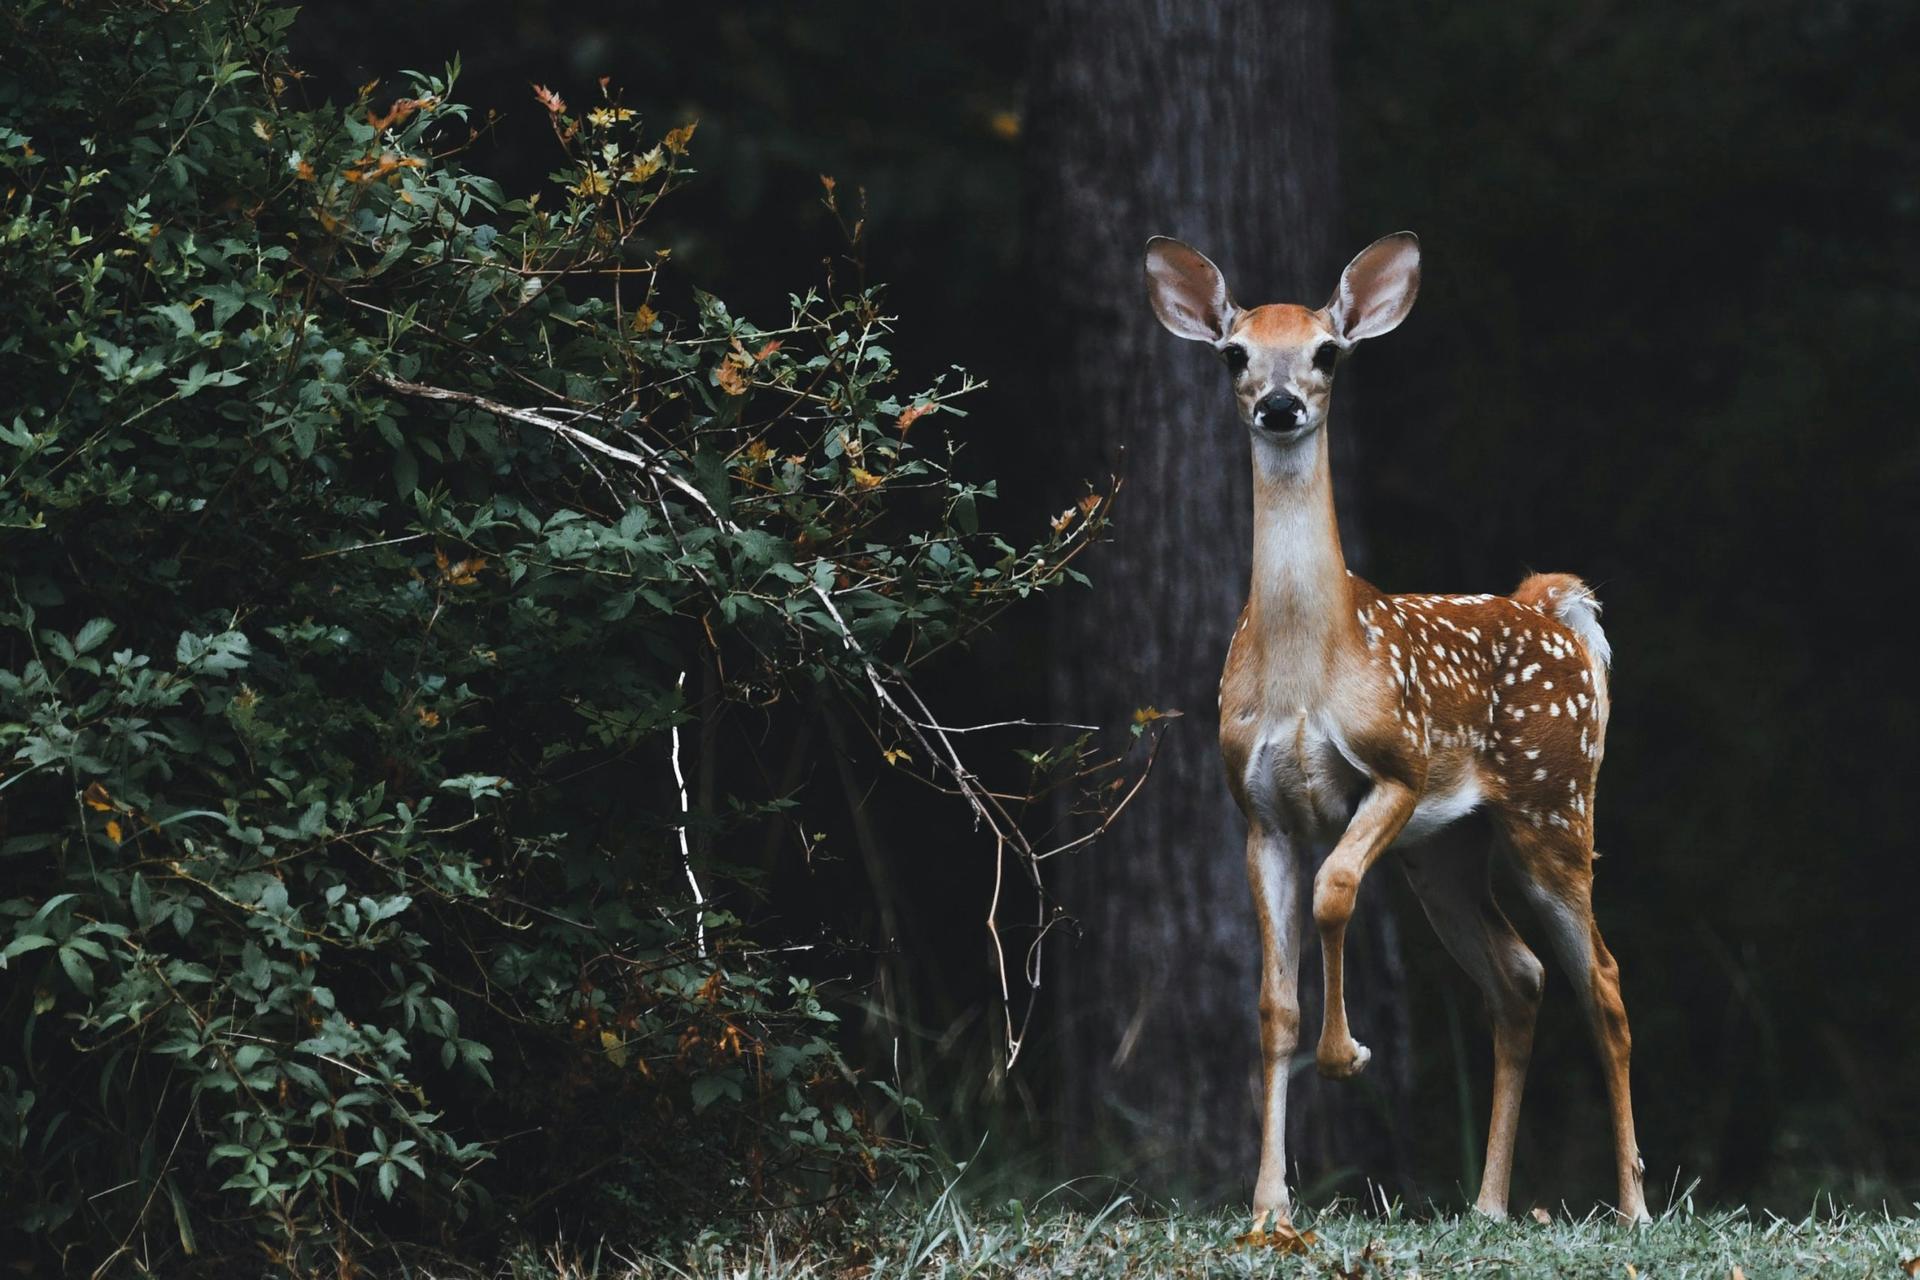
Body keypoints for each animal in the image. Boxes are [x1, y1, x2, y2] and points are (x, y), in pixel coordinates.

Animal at [1143, 232, 1649, 1230]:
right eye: (1234, 355)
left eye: (1329, 352)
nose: (1282, 405)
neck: (1309, 667)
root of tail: (1554, 609)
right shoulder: (1257, 812)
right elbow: (1274, 1004)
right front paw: (1269, 1205)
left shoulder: (1397, 769)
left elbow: (1336, 891)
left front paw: (1348, 1056)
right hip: (1447, 851)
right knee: (1519, 976)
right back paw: (1488, 1205)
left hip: (1555, 807)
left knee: (1603, 981)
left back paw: (1635, 1207)